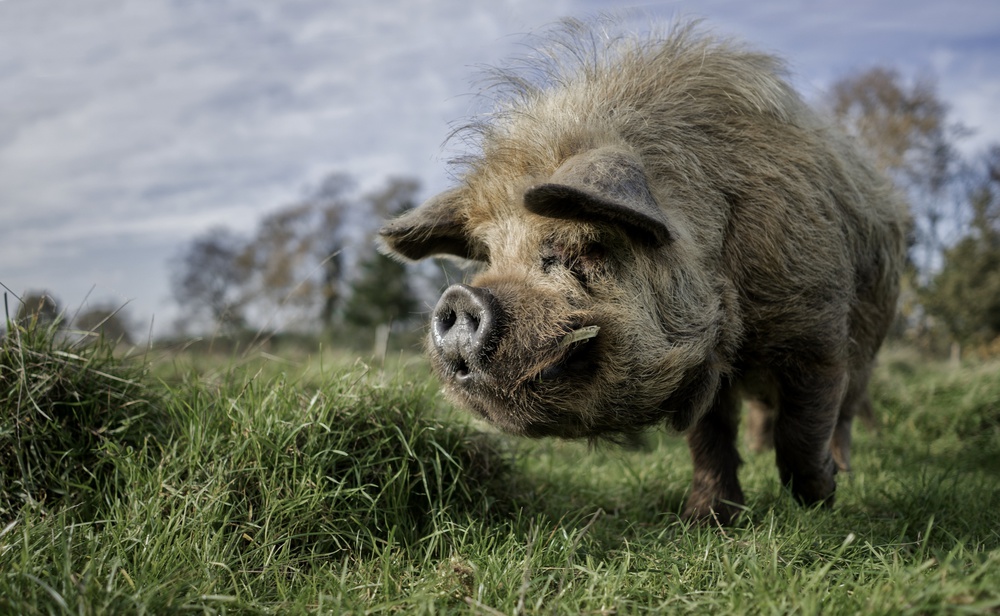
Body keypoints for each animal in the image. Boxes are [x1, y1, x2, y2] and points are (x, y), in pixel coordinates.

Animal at [376, 21, 908, 528]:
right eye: (489, 254)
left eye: (586, 246)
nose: (459, 299)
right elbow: (708, 438)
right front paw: (705, 521)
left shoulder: (817, 328)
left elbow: (803, 427)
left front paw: (824, 496)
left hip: (869, 345)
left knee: (844, 412)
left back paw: (843, 468)